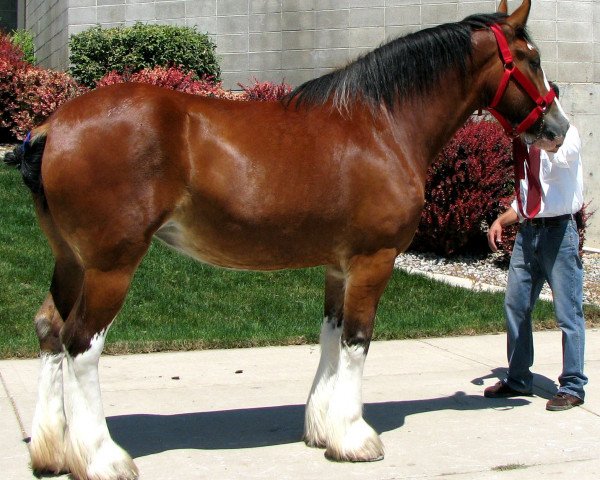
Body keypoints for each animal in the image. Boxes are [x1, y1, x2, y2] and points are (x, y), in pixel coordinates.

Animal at [3, 0, 568, 480]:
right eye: (531, 58)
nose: (558, 127)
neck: (381, 126)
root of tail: (54, 125)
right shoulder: (374, 260)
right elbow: (358, 340)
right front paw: (356, 438)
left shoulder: (339, 265)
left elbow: (331, 336)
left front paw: (323, 430)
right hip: (110, 267)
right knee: (80, 344)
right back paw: (101, 458)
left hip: (71, 263)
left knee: (50, 330)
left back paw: (53, 453)